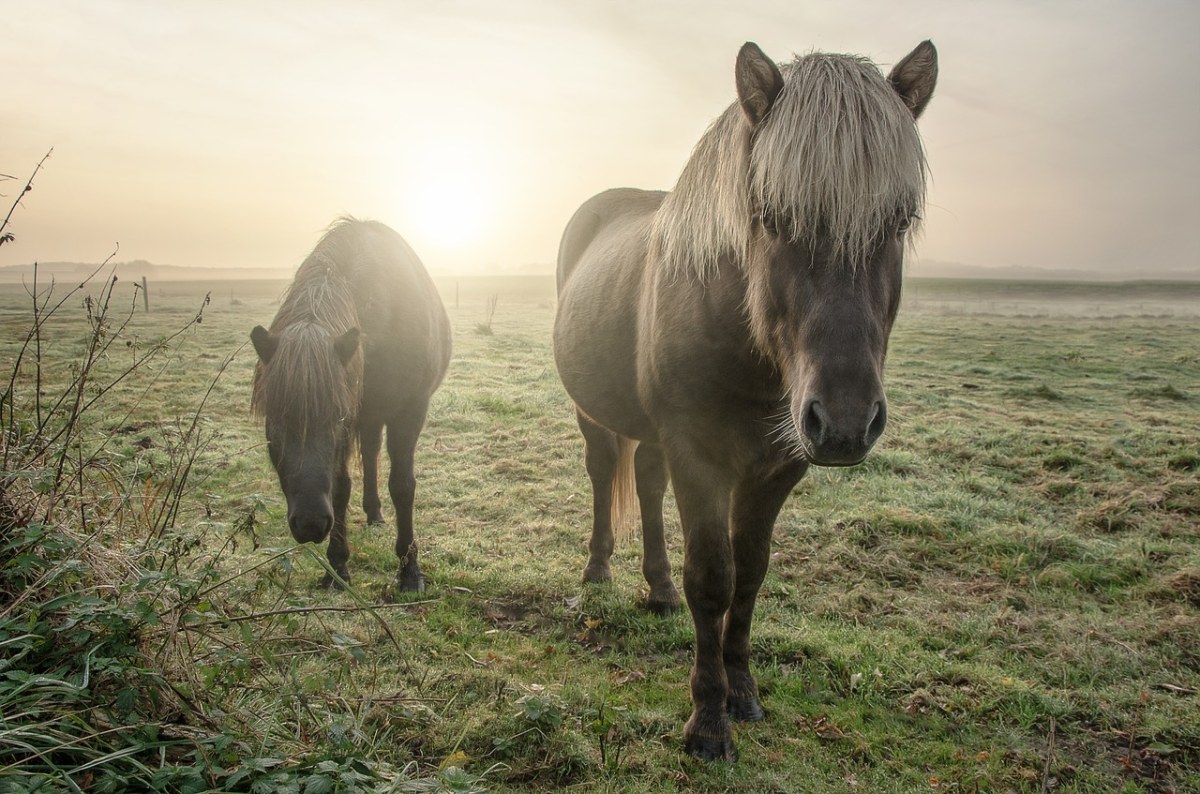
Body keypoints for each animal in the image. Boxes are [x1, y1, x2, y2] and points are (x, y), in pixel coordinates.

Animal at [248, 220, 451, 594]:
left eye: (336, 417)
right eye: (275, 422)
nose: (310, 523)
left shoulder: (409, 411)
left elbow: (403, 485)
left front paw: (409, 570)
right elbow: (341, 488)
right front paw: (337, 567)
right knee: (369, 454)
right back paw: (372, 513)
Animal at [552, 40, 936, 762]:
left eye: (899, 221)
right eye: (774, 217)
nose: (846, 420)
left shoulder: (779, 466)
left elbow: (751, 575)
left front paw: (744, 693)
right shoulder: (699, 457)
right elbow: (713, 578)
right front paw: (707, 721)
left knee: (646, 482)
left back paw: (657, 590)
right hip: (596, 416)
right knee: (603, 473)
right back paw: (598, 569)